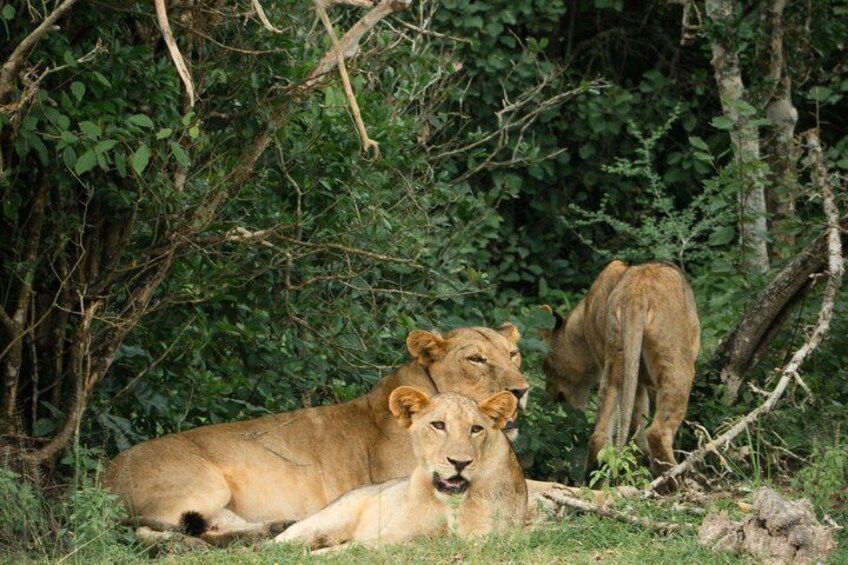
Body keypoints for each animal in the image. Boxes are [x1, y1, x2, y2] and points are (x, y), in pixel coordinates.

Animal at [273, 386, 527, 549]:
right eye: (438, 425)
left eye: (476, 429)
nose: (460, 462)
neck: (448, 504)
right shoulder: (395, 535)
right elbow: (351, 549)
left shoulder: (487, 537)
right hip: (323, 522)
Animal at [541, 260, 700, 478]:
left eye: (547, 366)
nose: (548, 397)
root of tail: (635, 295)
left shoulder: (635, 379)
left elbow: (635, 424)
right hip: (676, 364)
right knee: (657, 431)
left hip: (616, 364)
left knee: (599, 436)